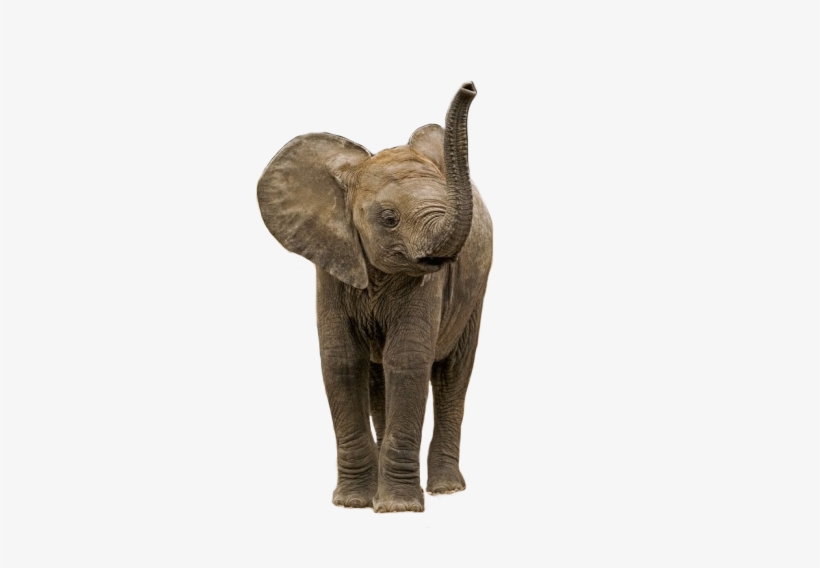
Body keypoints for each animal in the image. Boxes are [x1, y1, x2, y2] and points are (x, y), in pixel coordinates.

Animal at [257, 82, 492, 512]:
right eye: (388, 219)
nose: (470, 87)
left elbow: (407, 360)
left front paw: (398, 508)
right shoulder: (334, 263)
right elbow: (341, 361)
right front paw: (353, 503)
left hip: (477, 294)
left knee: (452, 374)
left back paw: (446, 489)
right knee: (377, 376)